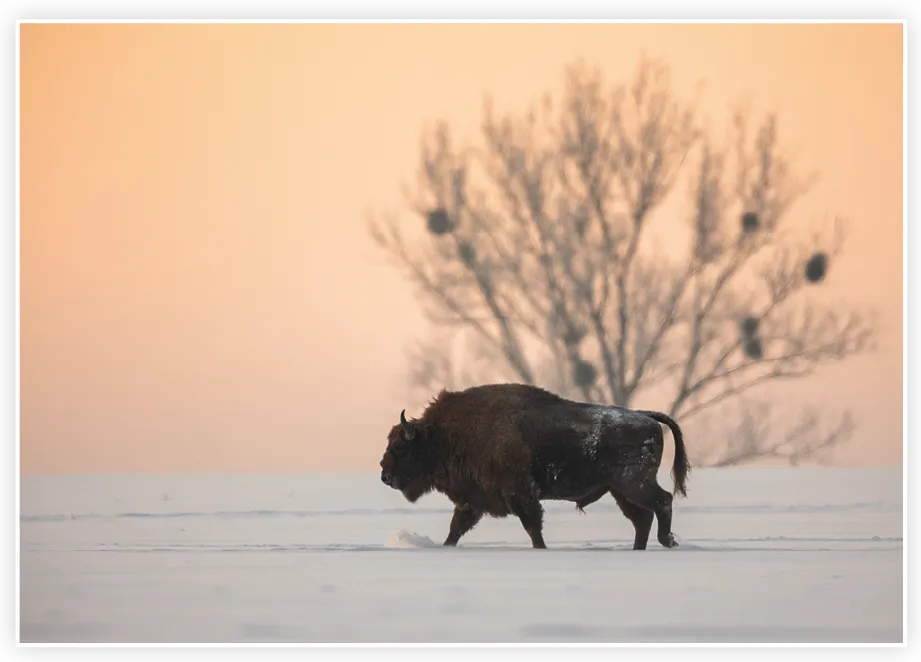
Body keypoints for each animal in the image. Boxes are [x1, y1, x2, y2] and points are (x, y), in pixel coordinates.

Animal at [379, 383, 690, 550]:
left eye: (400, 447)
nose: (384, 475)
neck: (444, 435)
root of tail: (645, 416)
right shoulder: (473, 500)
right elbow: (456, 528)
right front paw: (445, 547)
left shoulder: (520, 494)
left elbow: (532, 526)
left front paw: (541, 548)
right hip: (620, 491)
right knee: (642, 518)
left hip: (633, 484)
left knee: (661, 502)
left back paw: (667, 541)